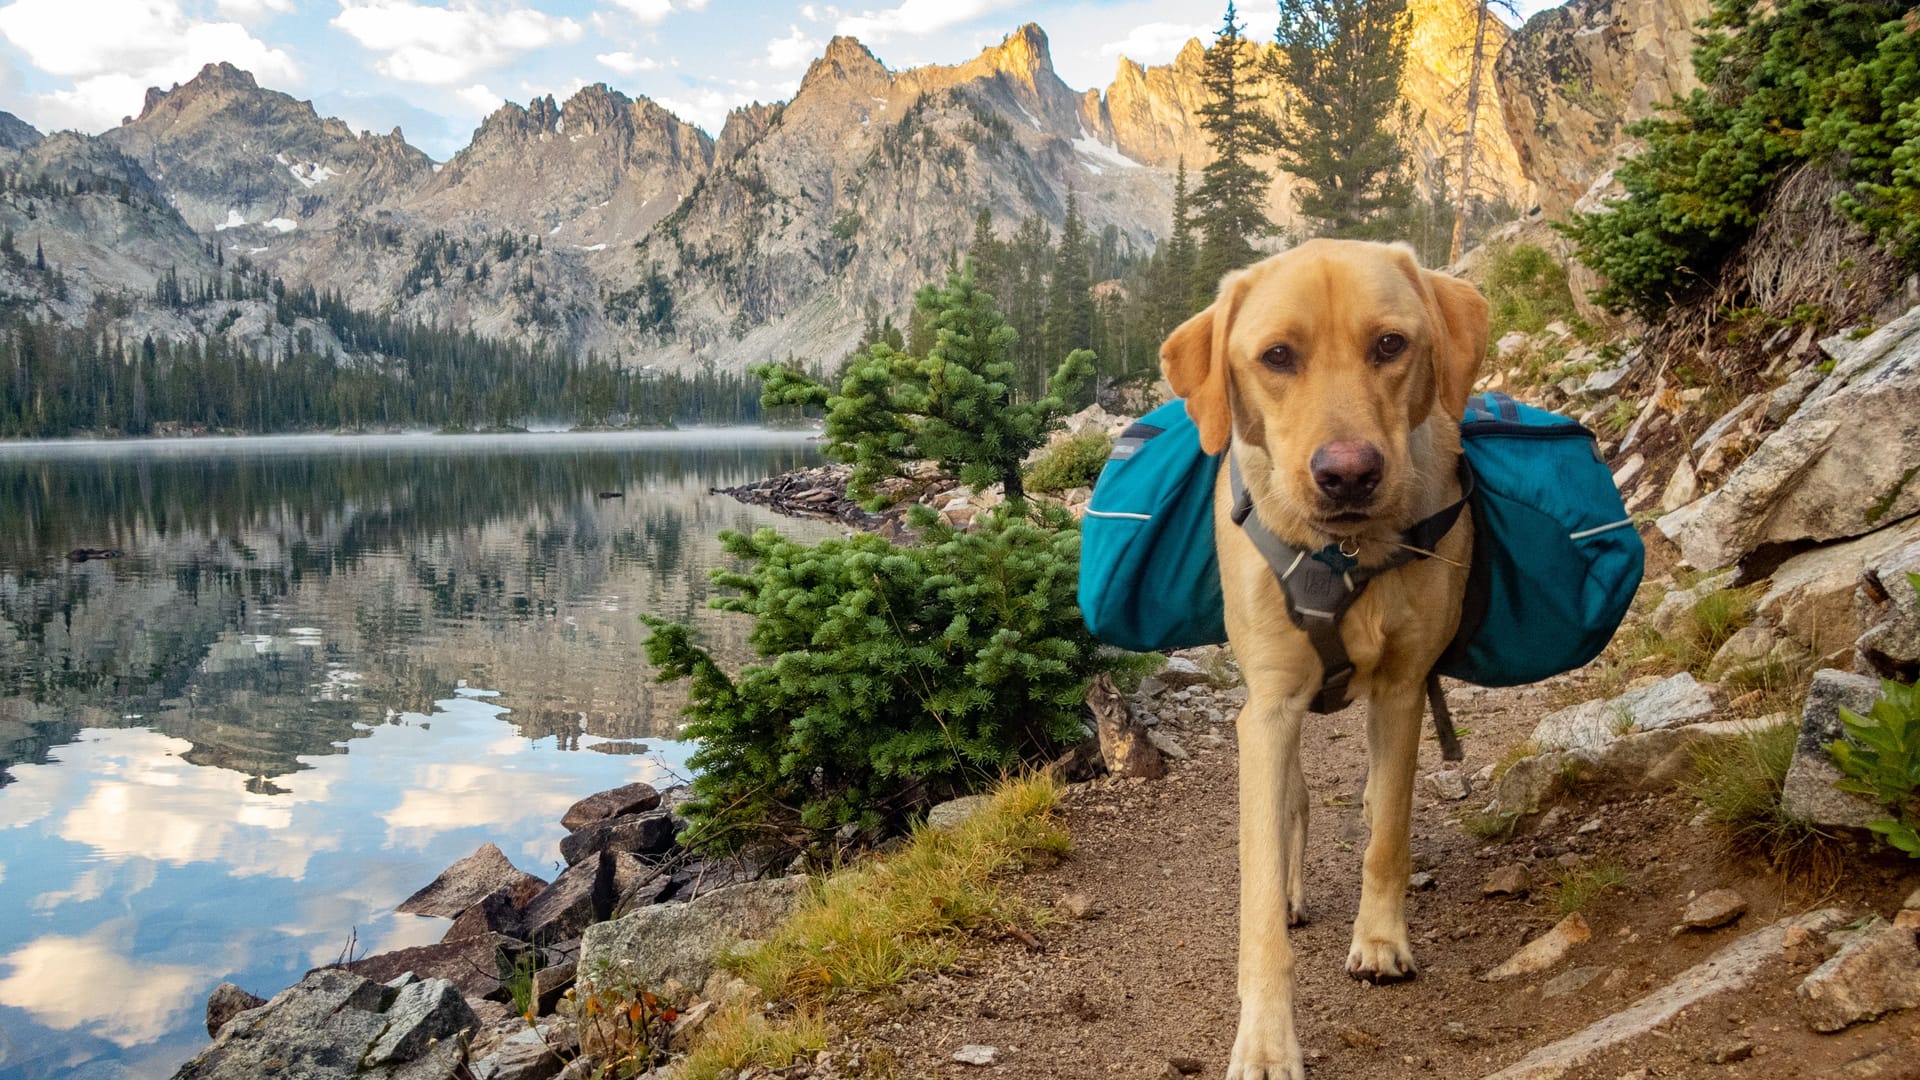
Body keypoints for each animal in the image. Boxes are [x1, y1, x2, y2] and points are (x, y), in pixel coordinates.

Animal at [1159, 239, 1489, 1068]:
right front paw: (1266, 1042)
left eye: (1391, 345)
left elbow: (1388, 831)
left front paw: (1380, 939)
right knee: (1294, 803)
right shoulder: (1270, 708)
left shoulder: (1403, 687)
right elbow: (1258, 900)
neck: (1343, 556)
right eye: (1277, 356)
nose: (1347, 474)